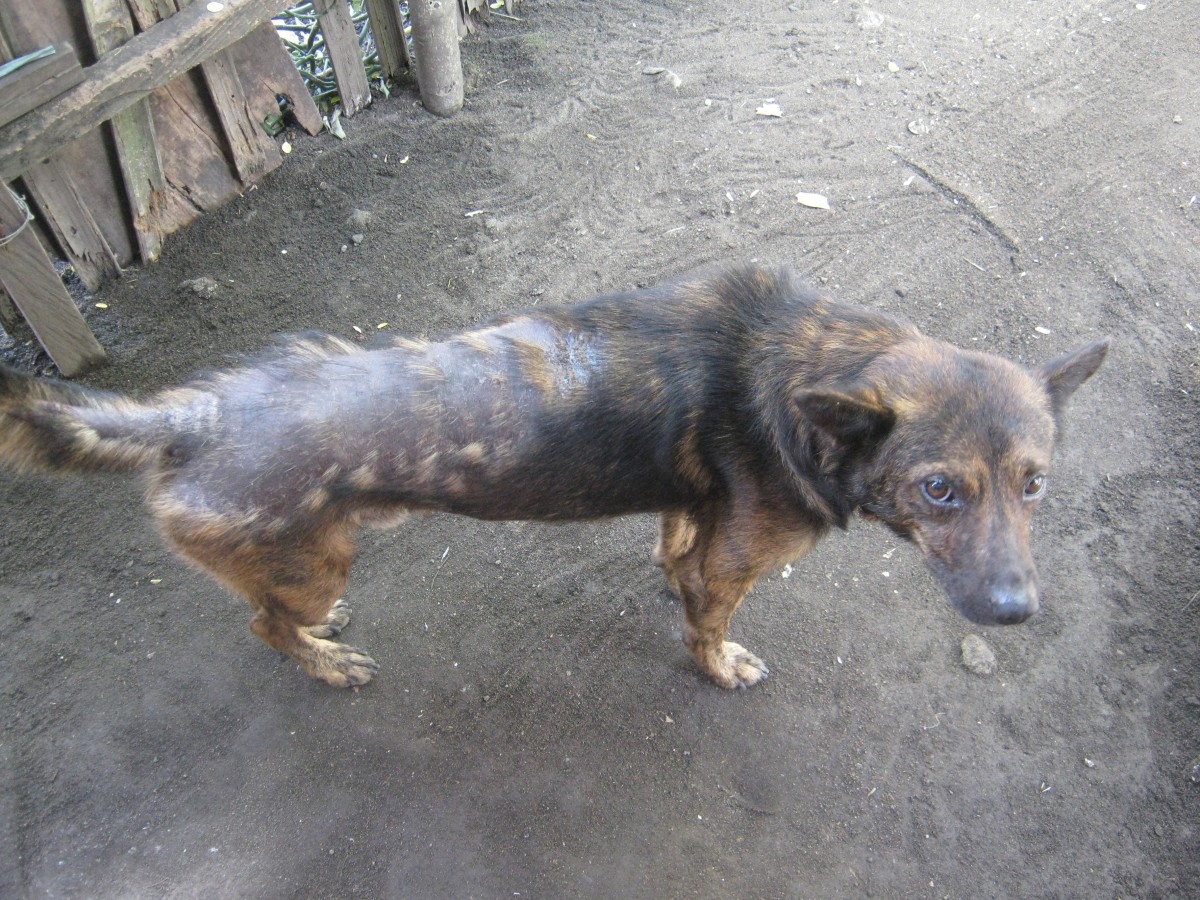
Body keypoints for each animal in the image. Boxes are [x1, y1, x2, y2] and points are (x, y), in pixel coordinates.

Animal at [0, 266, 1104, 691]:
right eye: (939, 490)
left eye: (1035, 484)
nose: (1017, 612)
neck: (803, 370)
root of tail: (197, 413)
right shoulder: (738, 566)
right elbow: (708, 624)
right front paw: (718, 667)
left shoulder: (694, 509)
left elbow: (677, 550)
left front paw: (668, 578)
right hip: (316, 563)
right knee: (265, 627)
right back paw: (322, 660)